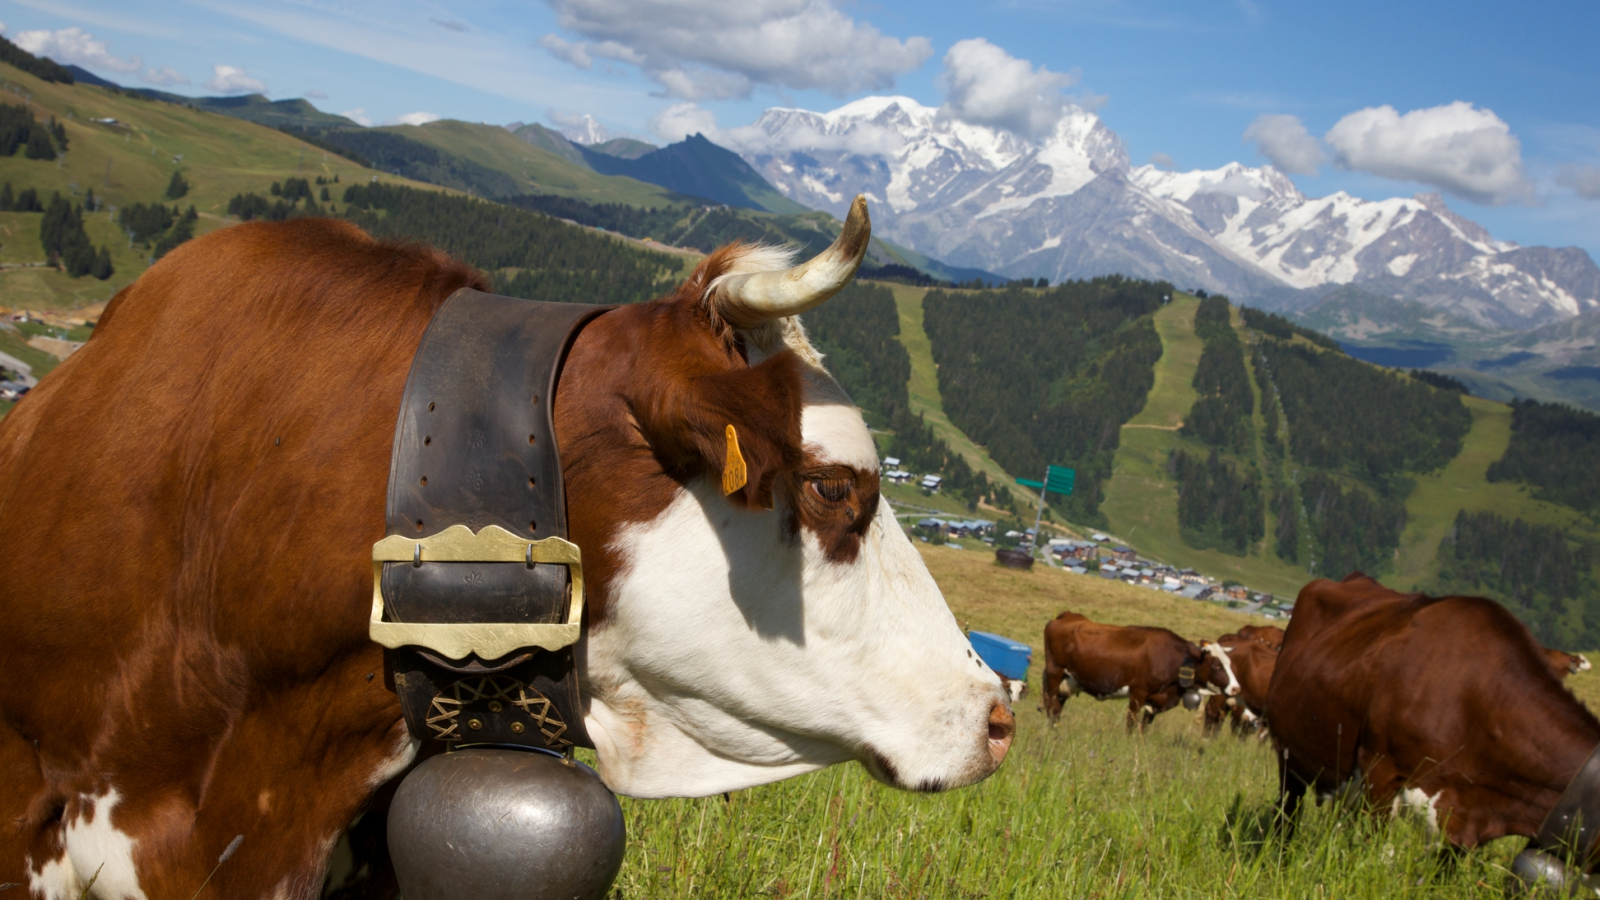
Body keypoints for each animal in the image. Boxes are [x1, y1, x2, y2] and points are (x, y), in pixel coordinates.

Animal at [1043, 605, 1241, 733]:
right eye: (1216, 665)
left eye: (1229, 663)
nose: (1236, 688)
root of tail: (1067, 615)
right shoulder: (1138, 692)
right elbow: (1131, 723)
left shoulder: (1156, 700)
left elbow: (1144, 727)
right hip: (1055, 671)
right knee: (1051, 705)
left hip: (1068, 680)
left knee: (1057, 706)